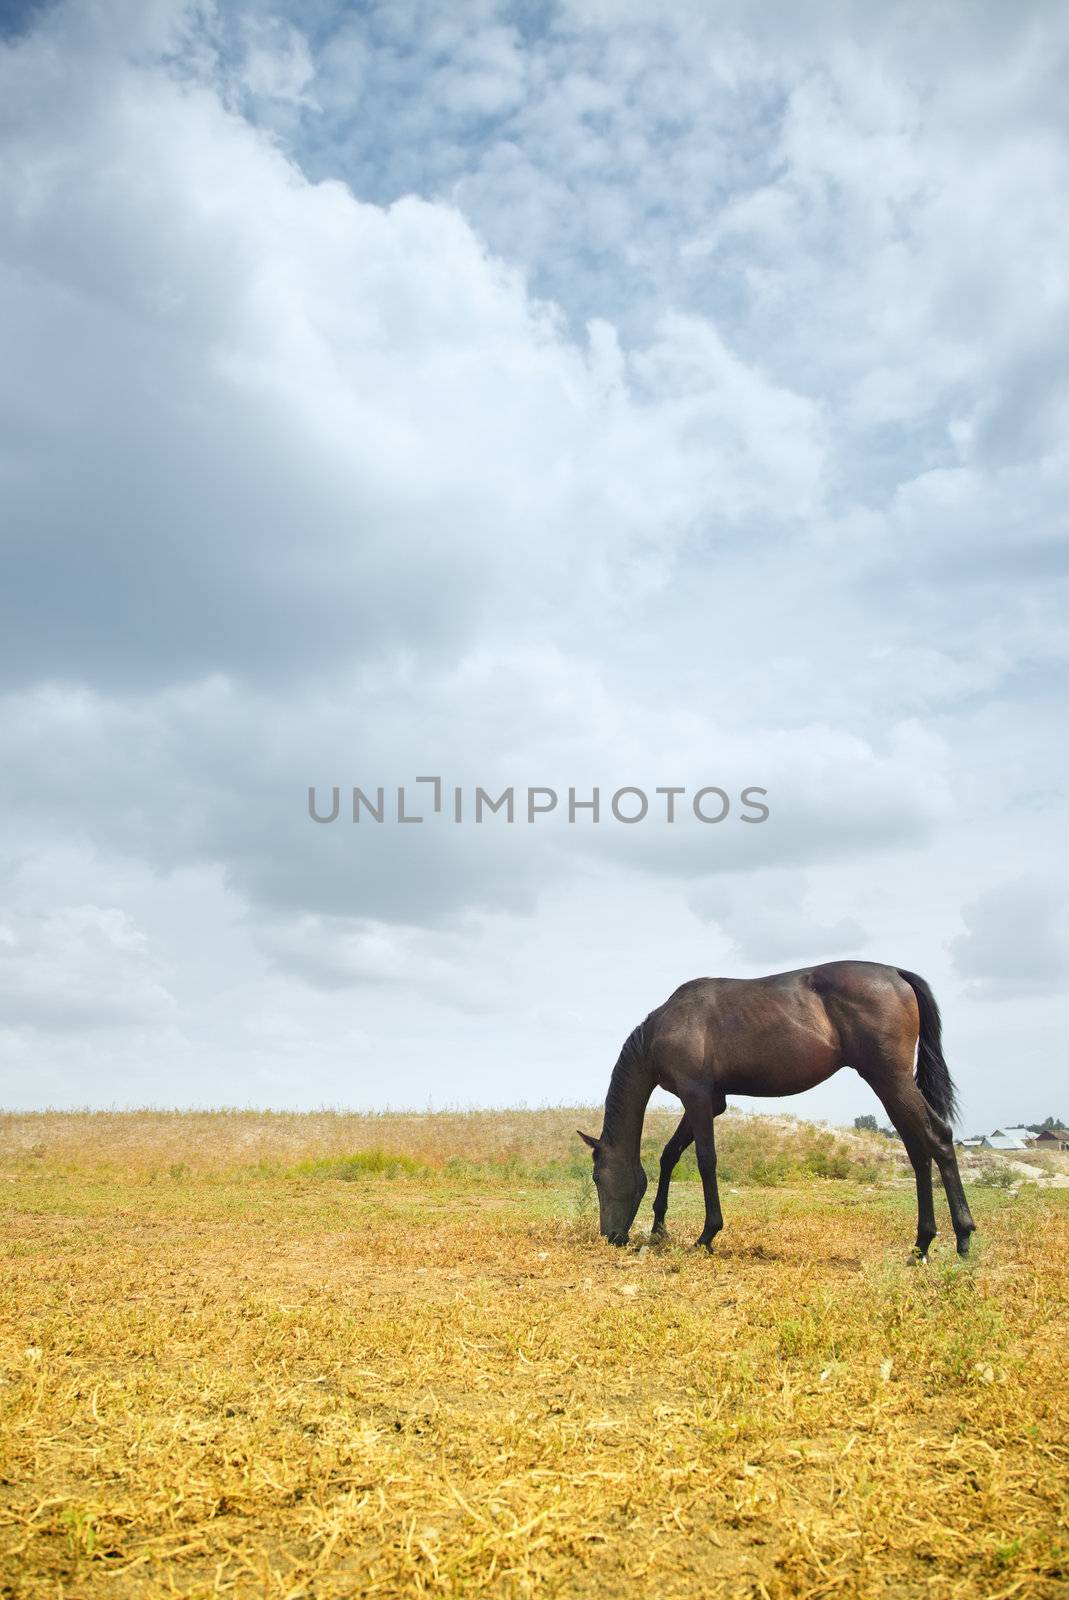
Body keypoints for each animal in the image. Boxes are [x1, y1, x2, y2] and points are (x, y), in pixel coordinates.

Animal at [579, 960, 972, 1260]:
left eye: (597, 1177)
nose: (609, 1235)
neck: (665, 1026)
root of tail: (897, 973)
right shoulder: (711, 1101)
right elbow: (669, 1155)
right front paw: (659, 1228)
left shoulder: (696, 1096)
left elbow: (706, 1160)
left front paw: (707, 1235)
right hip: (891, 1087)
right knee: (918, 1150)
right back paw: (922, 1244)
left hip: (891, 1080)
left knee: (938, 1138)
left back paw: (963, 1238)